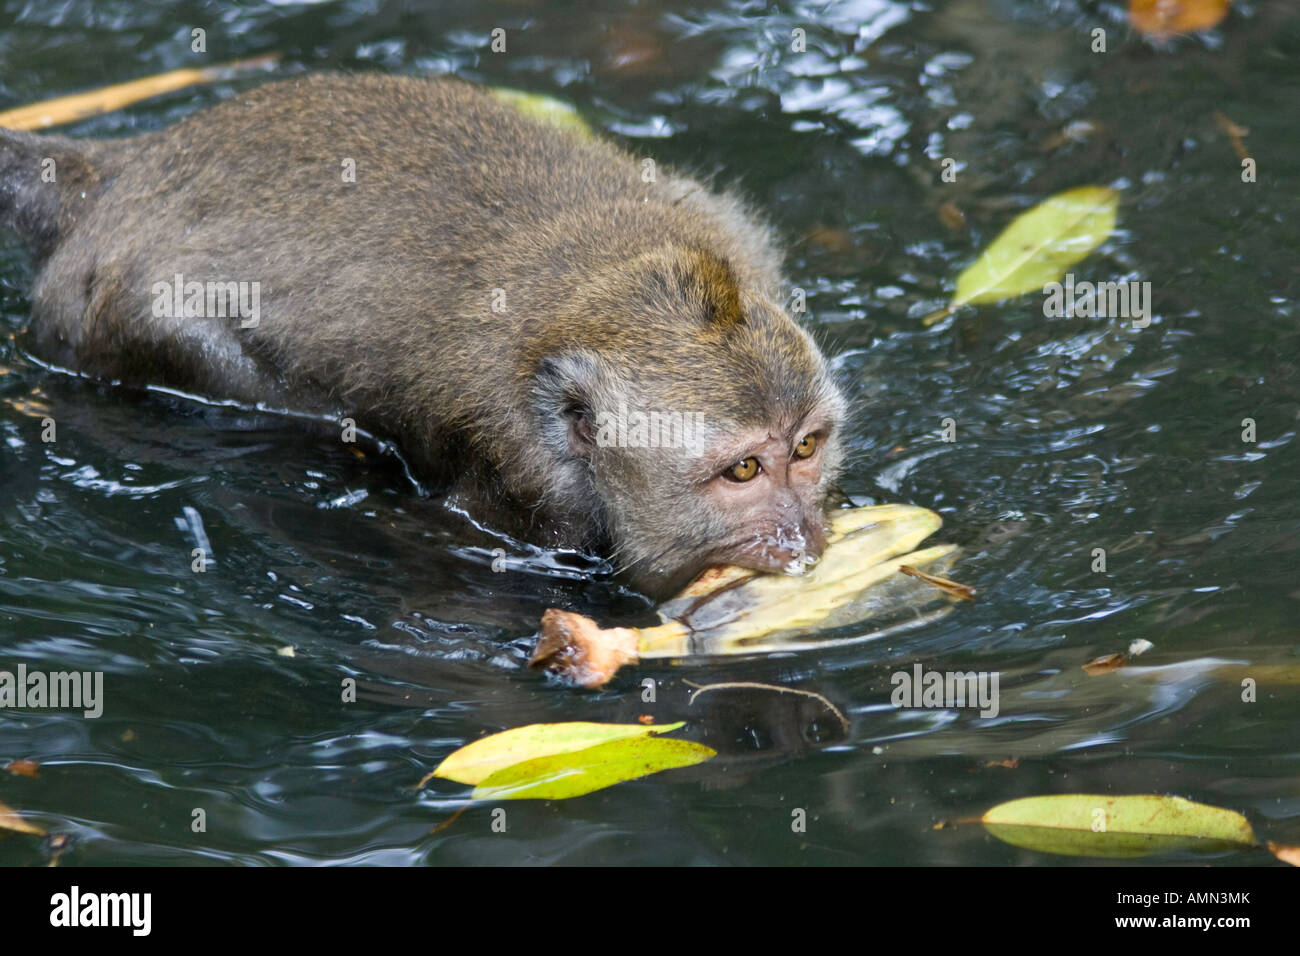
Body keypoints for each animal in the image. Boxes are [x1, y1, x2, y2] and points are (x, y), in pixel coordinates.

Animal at [0, 73, 846, 600]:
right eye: (742, 471)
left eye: (805, 448)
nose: (800, 536)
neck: (595, 291)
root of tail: (117, 173)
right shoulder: (518, 477)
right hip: (115, 319)